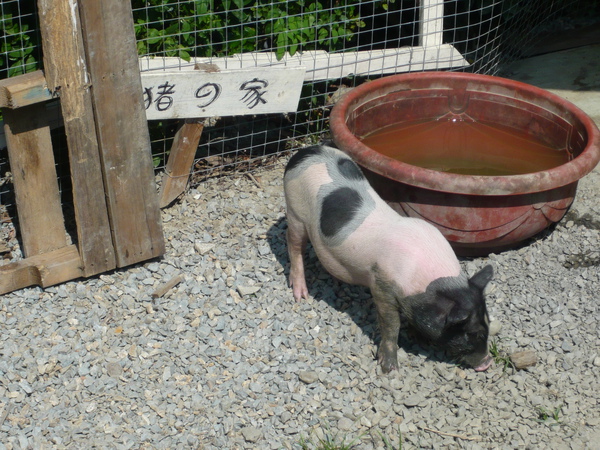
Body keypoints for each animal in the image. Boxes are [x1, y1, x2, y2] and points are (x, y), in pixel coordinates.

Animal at [284, 144, 494, 372]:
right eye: (471, 333)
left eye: (488, 322)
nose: (487, 363)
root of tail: (304, 152)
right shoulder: (381, 284)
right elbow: (391, 324)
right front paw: (389, 368)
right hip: (294, 211)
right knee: (294, 246)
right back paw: (301, 296)